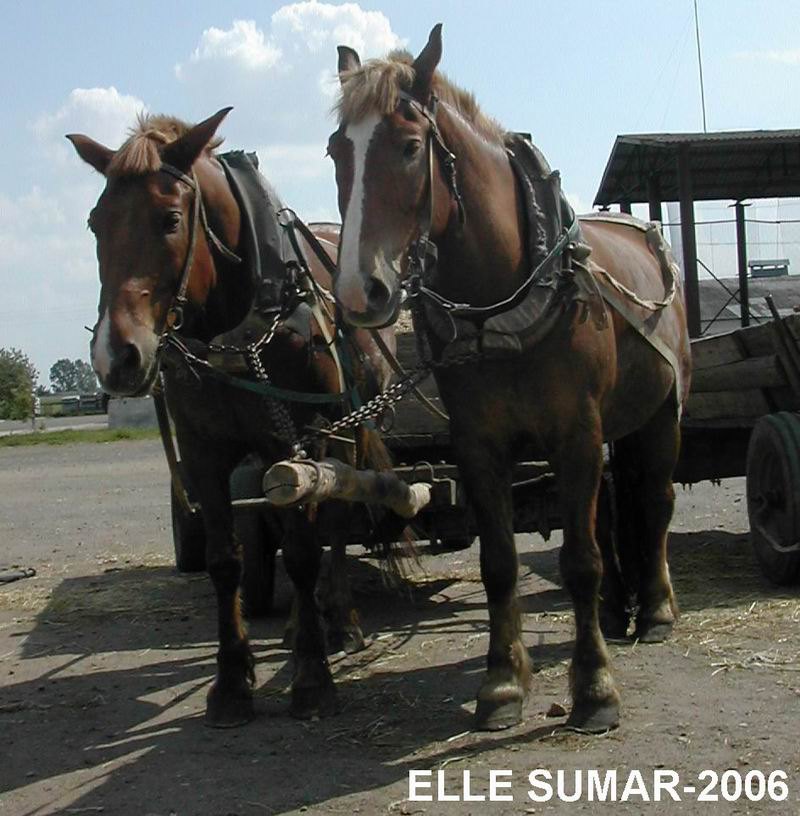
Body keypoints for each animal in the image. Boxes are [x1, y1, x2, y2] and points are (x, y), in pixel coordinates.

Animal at [67, 108, 398, 728]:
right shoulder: (202, 453)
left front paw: (312, 679)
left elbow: (302, 551)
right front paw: (230, 683)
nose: (116, 357)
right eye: (97, 223)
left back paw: (339, 620)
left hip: (341, 435)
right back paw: (298, 625)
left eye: (171, 219)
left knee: (333, 525)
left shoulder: (292, 445)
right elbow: (225, 562)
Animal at [328, 27, 692, 732]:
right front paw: (501, 682)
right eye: (337, 151)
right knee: (615, 508)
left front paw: (594, 687)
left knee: (655, 502)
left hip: (663, 412)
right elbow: (498, 564)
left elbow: (580, 561)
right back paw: (619, 610)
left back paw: (657, 610)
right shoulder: (478, 445)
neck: (503, 297)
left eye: (409, 147)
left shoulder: (576, 434)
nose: (361, 292)